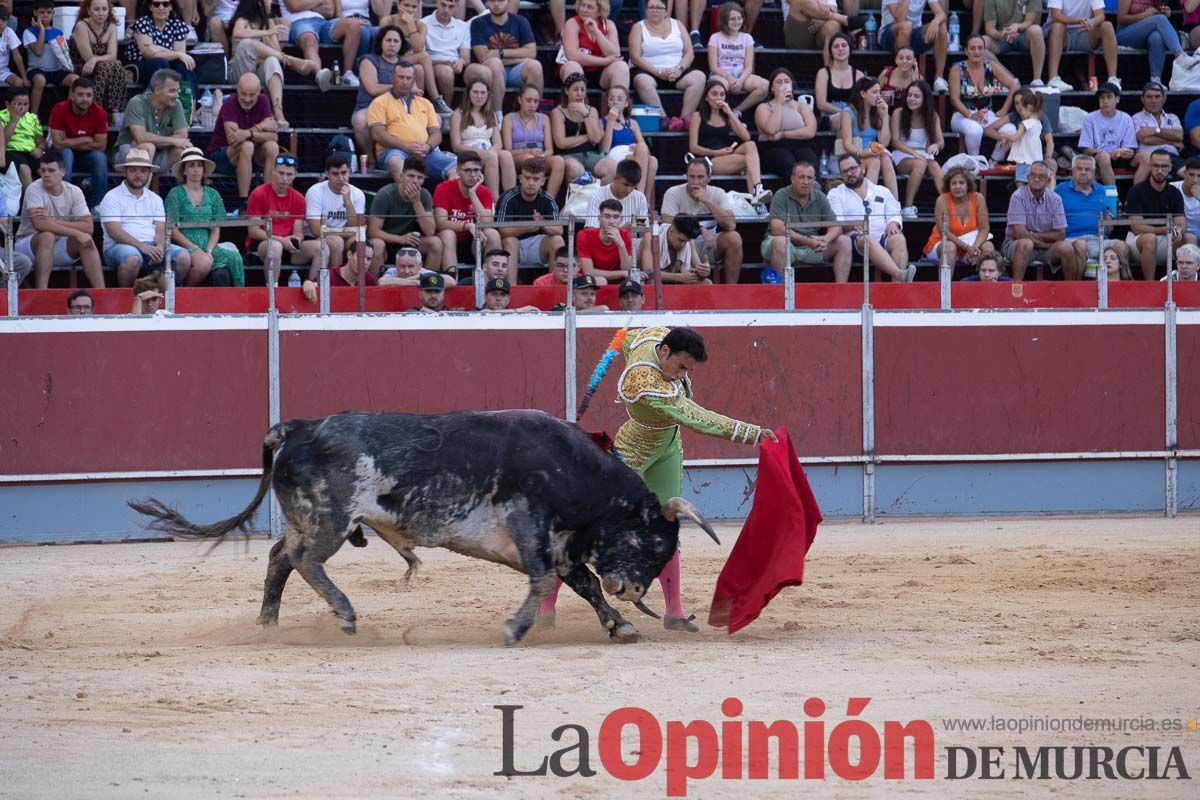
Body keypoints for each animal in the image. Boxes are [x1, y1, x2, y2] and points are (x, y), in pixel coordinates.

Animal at [129, 410, 720, 647]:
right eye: (654, 540)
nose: (634, 589)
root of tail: (297, 427)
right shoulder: (532, 526)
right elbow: (543, 580)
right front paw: (516, 629)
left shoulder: (562, 545)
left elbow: (583, 585)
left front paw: (621, 625)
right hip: (331, 520)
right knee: (303, 560)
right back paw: (344, 615)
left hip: (308, 518)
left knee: (280, 557)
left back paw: (269, 625)